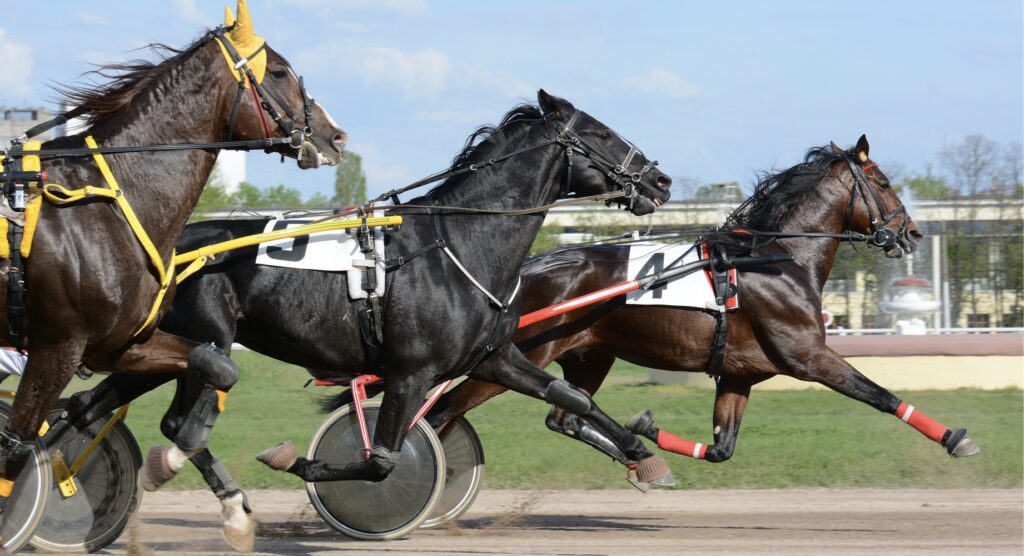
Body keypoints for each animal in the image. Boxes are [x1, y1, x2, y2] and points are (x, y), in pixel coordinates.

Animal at [0, 1, 344, 552]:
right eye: (279, 72)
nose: (335, 137)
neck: (104, 203)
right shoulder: (58, 345)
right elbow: (16, 444)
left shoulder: (117, 343)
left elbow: (216, 367)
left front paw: (202, 472)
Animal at [64, 92, 671, 540]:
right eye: (599, 133)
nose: (661, 181)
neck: (458, 244)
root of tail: (162, 249)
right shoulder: (410, 372)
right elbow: (380, 460)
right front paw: (297, 464)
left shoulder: (493, 358)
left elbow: (573, 398)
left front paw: (644, 454)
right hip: (204, 340)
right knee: (171, 423)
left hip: (159, 351)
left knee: (91, 406)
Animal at [428, 136, 978, 471]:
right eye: (883, 183)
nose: (912, 232)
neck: (775, 259)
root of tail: (523, 271)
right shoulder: (808, 356)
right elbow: (879, 394)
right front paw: (955, 438)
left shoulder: (738, 374)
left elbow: (720, 449)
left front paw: (647, 429)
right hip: (513, 359)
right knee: (442, 414)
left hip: (589, 354)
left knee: (563, 414)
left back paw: (640, 461)